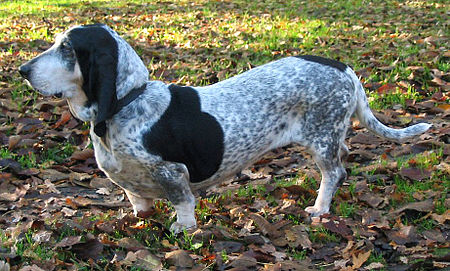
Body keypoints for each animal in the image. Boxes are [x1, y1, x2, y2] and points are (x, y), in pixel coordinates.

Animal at [18, 23, 432, 234]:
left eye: (67, 49)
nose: (22, 70)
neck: (128, 102)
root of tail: (344, 69)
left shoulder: (173, 172)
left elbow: (183, 204)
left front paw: (182, 232)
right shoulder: (131, 184)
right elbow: (139, 204)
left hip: (321, 139)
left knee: (335, 173)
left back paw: (319, 207)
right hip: (329, 136)